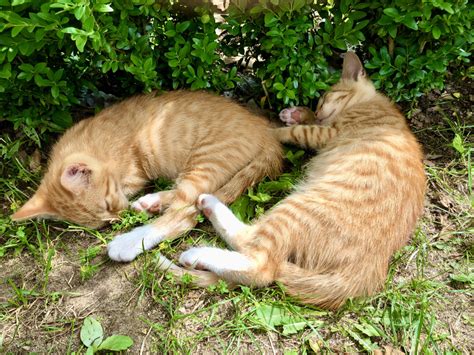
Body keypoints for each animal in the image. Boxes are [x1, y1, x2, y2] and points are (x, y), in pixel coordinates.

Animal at [12, 90, 284, 262]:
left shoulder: (133, 173)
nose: (118, 217)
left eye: (108, 203)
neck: (96, 144)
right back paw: (151, 202)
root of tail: (266, 132)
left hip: (206, 160)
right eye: (102, 223)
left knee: (183, 215)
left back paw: (129, 242)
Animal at [173, 52, 426, 308]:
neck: (371, 103)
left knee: (259, 265)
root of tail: (369, 269)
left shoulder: (328, 133)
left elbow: (300, 132)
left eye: (323, 99)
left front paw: (275, 129)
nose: (320, 109)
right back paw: (209, 207)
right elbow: (310, 124)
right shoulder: (327, 127)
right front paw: (296, 114)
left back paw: (198, 249)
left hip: (294, 210)